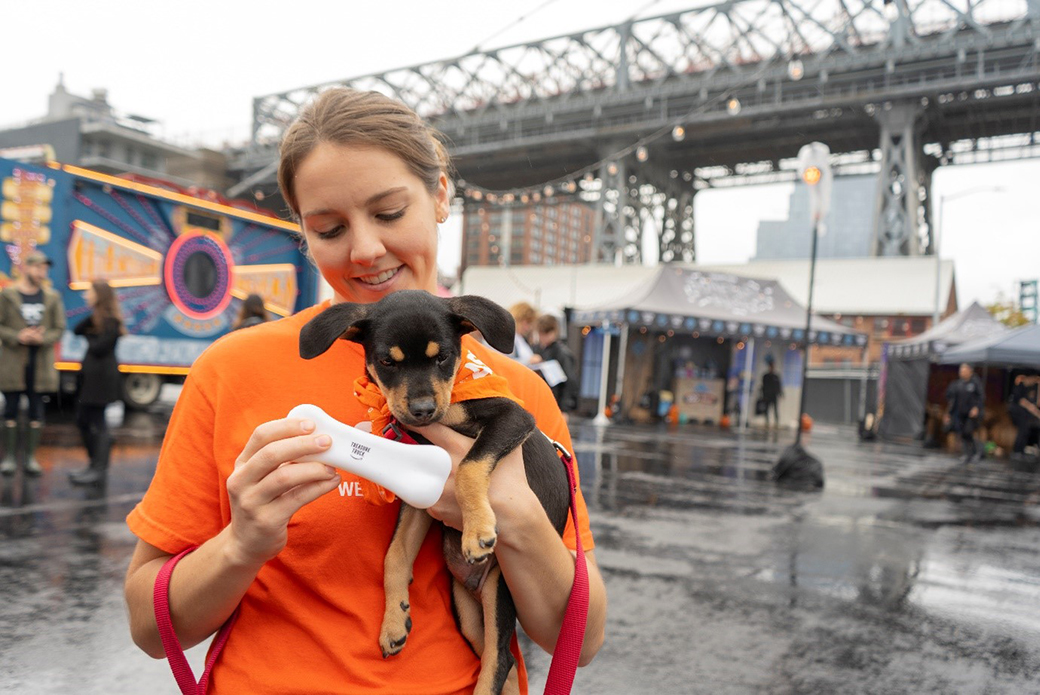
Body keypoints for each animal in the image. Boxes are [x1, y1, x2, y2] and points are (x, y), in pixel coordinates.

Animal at [297, 291, 574, 695]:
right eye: (387, 362)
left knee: (500, 658)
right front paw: (393, 623)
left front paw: (477, 530)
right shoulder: (421, 495)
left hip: (501, 588)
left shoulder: (512, 419)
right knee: (498, 660)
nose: (423, 409)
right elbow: (395, 554)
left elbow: (469, 466)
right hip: (466, 611)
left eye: (442, 357)